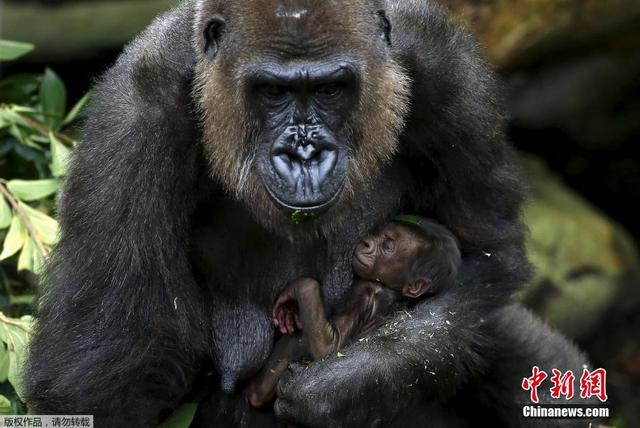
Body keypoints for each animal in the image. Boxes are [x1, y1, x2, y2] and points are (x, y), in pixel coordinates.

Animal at [245, 217, 460, 408]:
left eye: (388, 245)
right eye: (378, 232)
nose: (366, 242)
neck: (393, 290)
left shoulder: (363, 290)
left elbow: (329, 345)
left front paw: (300, 289)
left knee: (294, 341)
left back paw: (257, 392)